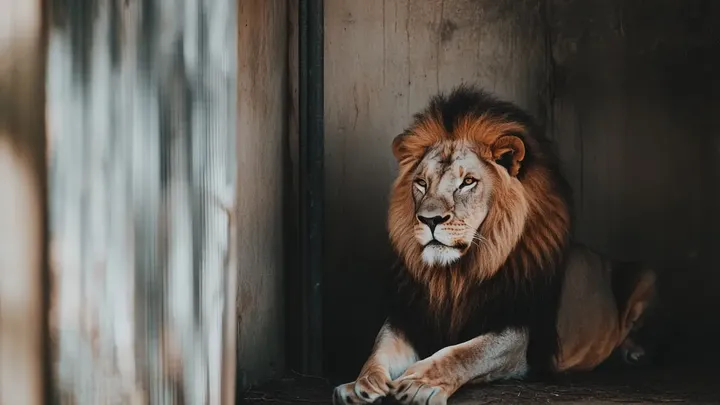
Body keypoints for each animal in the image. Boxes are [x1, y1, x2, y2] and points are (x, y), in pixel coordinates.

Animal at [332, 85, 660, 405]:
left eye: (467, 182)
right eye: (421, 183)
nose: (429, 219)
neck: (452, 277)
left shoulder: (518, 333)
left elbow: (464, 353)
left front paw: (419, 383)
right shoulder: (409, 316)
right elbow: (379, 348)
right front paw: (360, 385)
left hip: (646, 273)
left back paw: (633, 352)